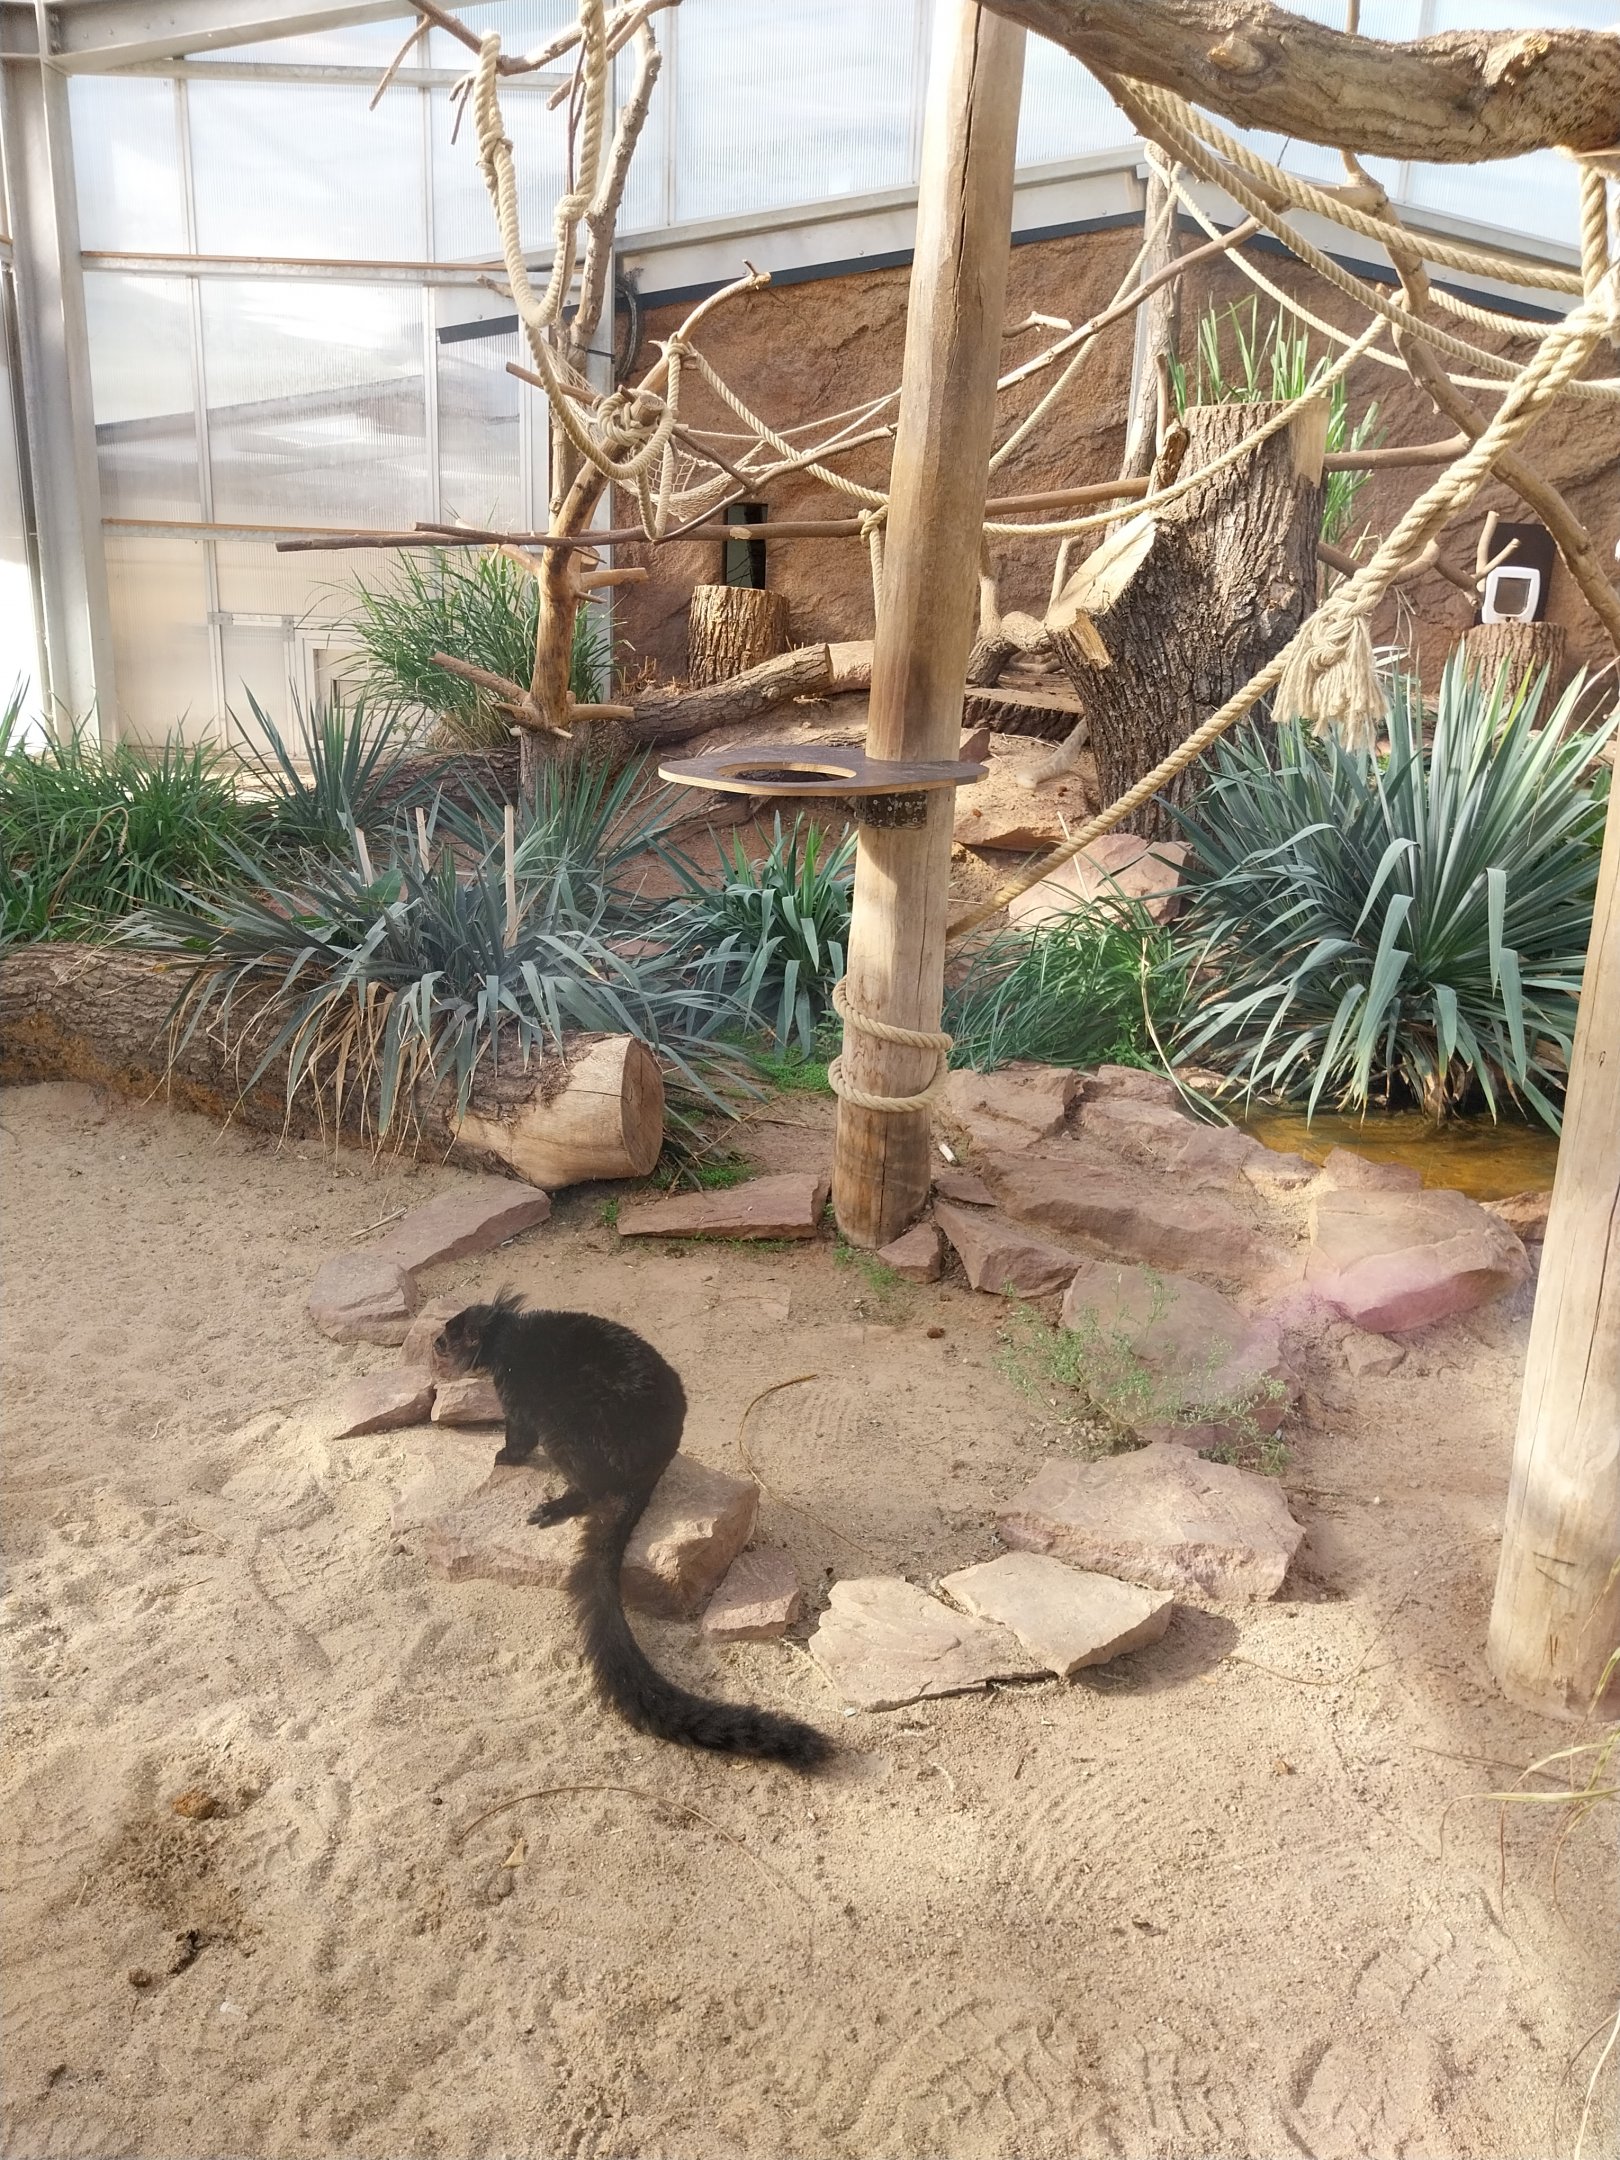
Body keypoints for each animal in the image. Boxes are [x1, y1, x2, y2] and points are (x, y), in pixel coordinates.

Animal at [431, 1293, 830, 1773]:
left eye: (448, 1336)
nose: (433, 1346)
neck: (504, 1334)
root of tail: (647, 1468)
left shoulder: (515, 1390)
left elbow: (521, 1434)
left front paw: (506, 1456)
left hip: (577, 1428)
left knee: (578, 1465)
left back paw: (566, 1502)